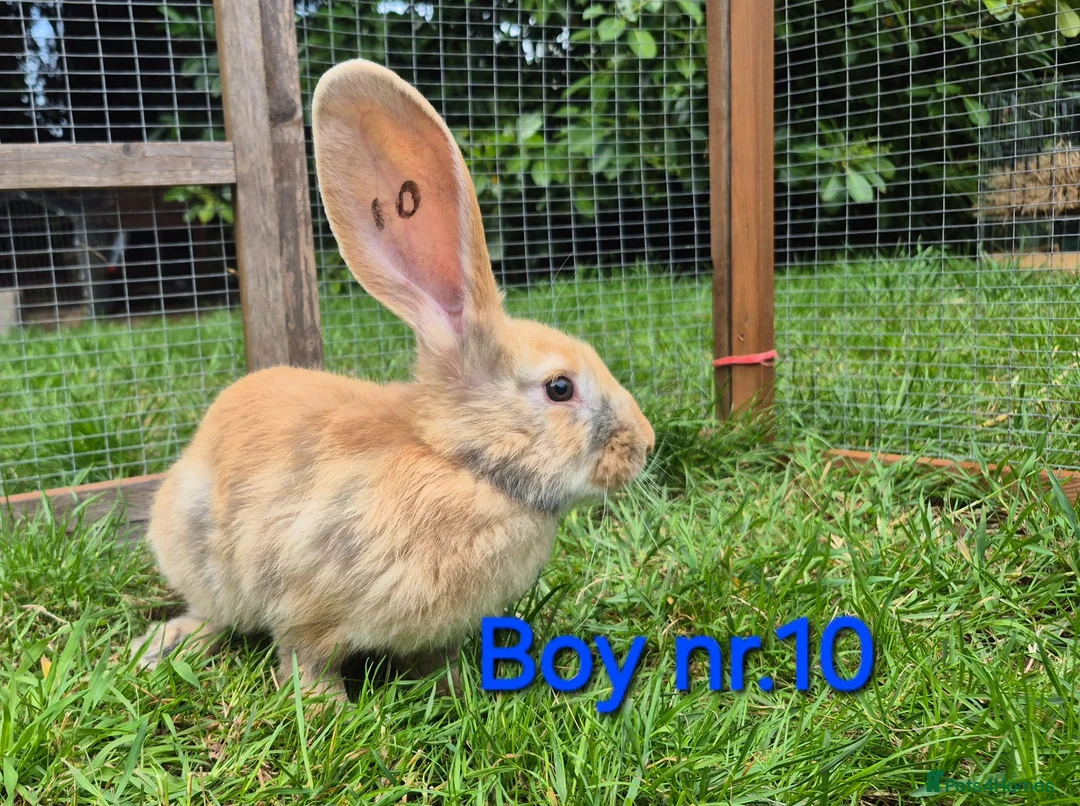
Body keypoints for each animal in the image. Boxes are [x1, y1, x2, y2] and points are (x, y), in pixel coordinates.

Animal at [130, 58, 655, 701]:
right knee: (213, 611)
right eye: (560, 387)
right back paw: (164, 647)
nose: (645, 445)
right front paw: (324, 706)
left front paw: (455, 685)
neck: (457, 461)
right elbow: (306, 655)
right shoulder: (307, 600)